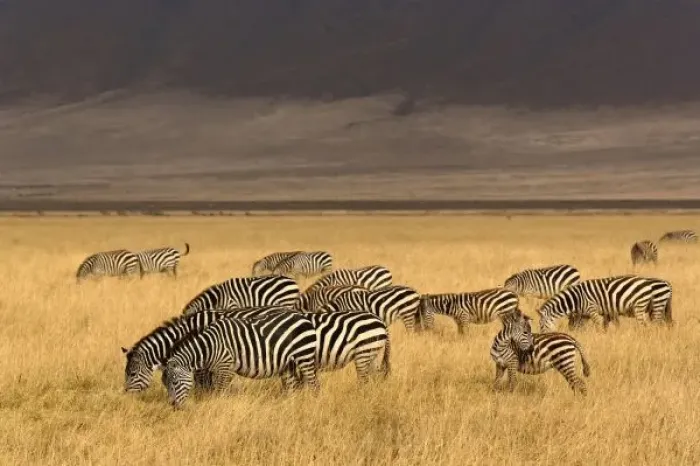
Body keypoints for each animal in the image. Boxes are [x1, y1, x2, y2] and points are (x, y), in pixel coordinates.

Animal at [162, 312, 320, 408]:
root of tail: (304, 318)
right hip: (288, 364)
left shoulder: (225, 366)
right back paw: (289, 405)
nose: (173, 406)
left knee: (314, 385)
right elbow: (217, 390)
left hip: (304, 356)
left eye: (175, 383)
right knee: (292, 387)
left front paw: (219, 407)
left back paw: (312, 404)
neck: (210, 346)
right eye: (165, 384)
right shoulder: (218, 369)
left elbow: (220, 391)